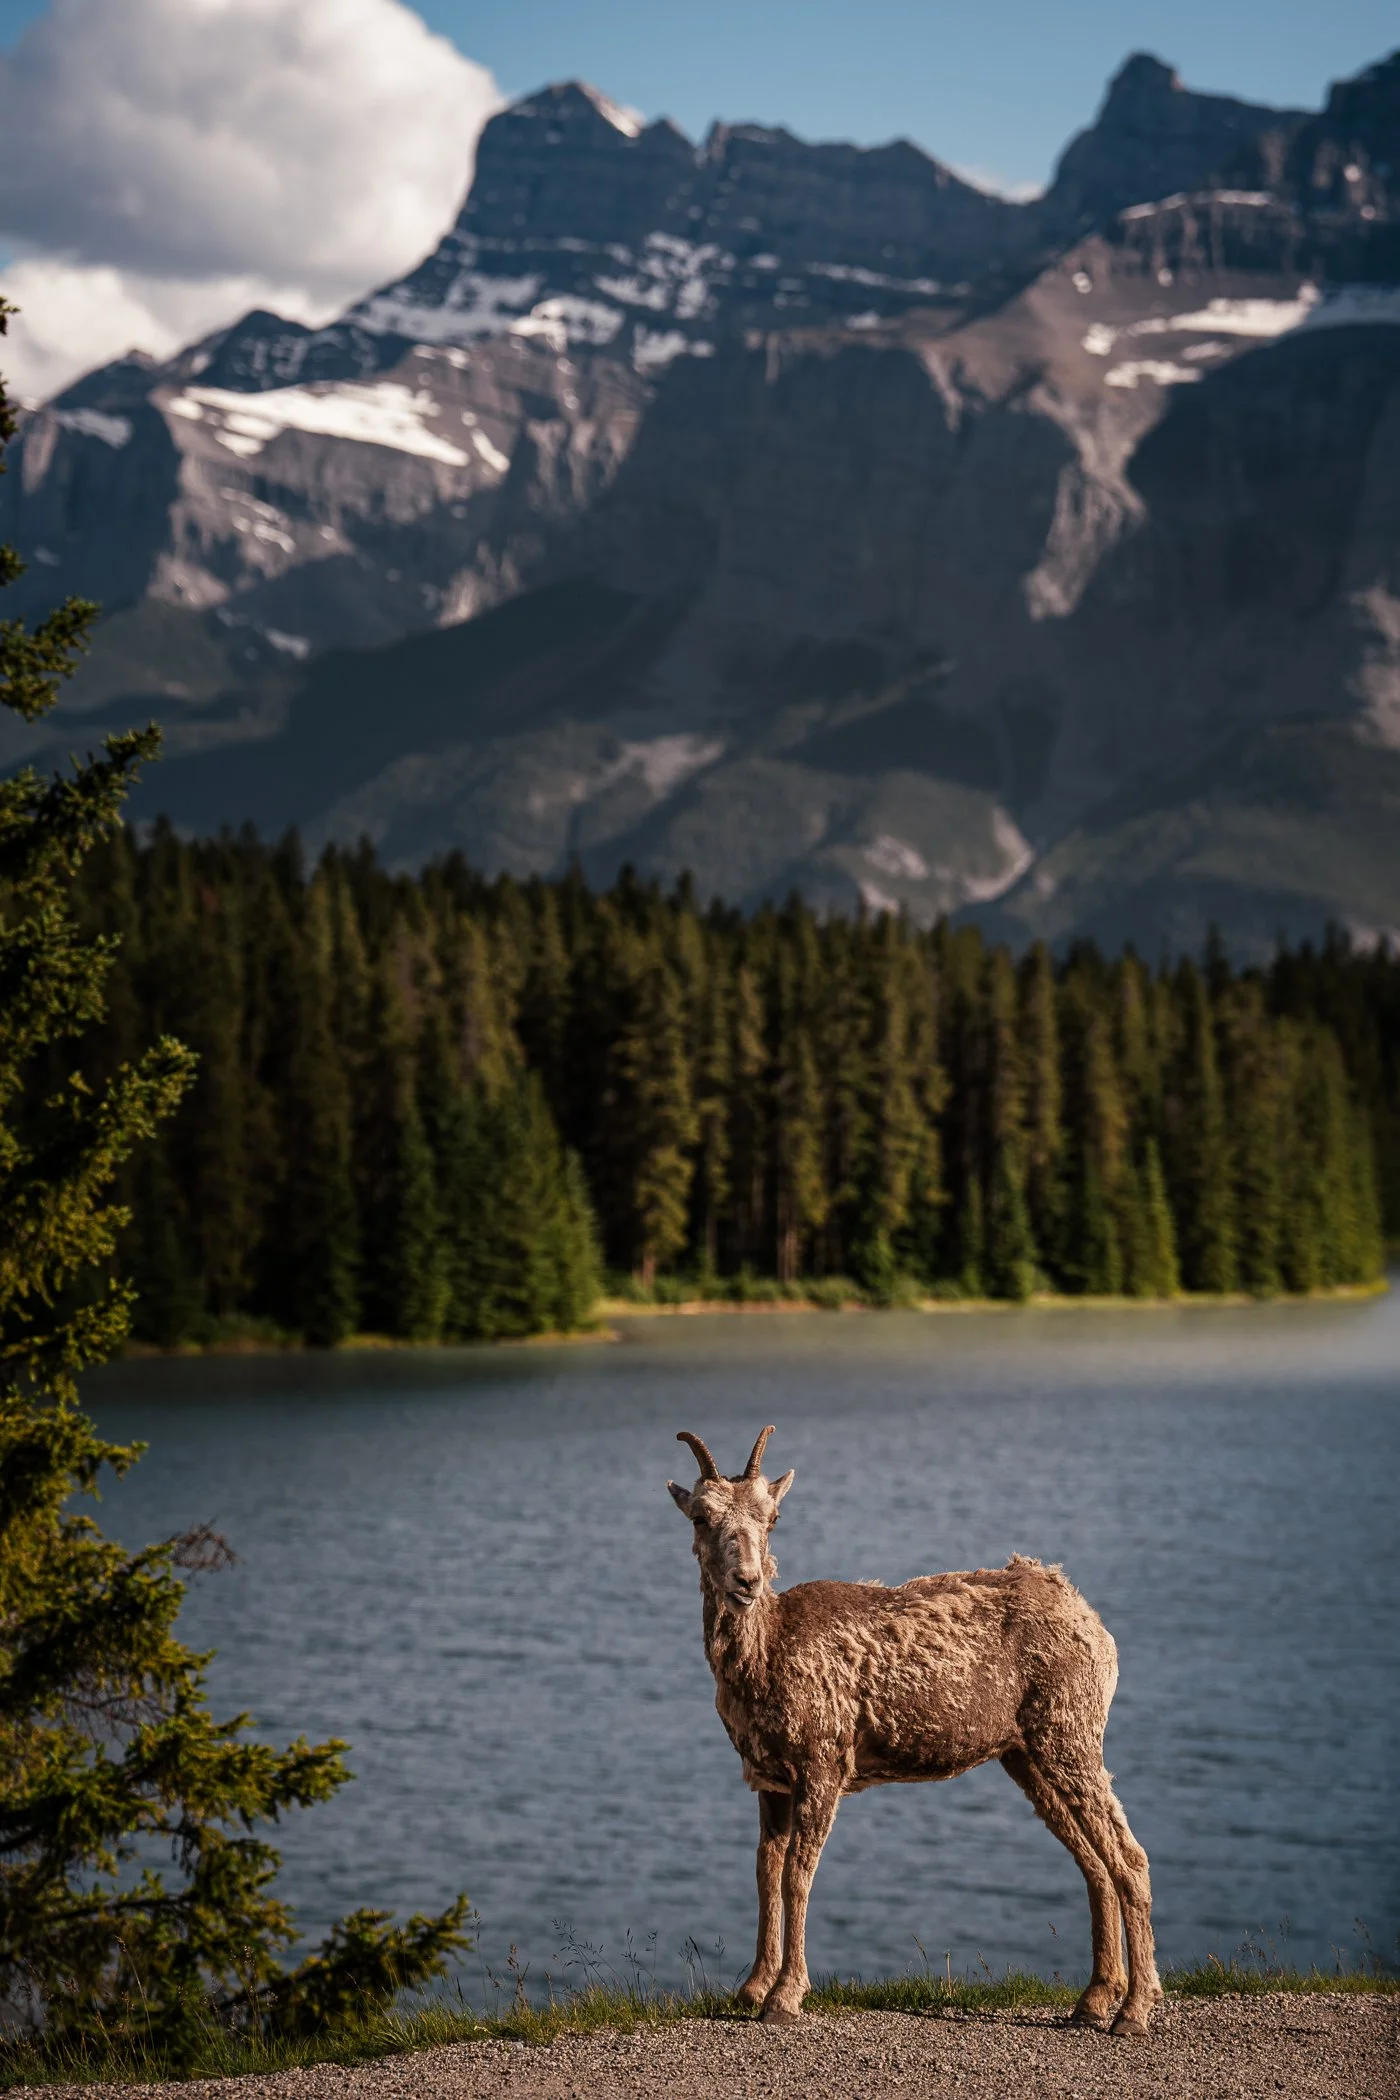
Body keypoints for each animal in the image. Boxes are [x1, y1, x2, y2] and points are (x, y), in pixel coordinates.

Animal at [668, 1424, 1160, 2034]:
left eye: (772, 1517)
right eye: (700, 1517)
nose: (746, 1582)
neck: (768, 1654)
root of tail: (1094, 1626)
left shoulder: (822, 1763)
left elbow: (796, 1876)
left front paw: (784, 1997)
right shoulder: (770, 1779)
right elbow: (764, 1873)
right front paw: (751, 1988)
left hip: (1070, 1734)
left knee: (1129, 1856)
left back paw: (1134, 2011)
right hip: (1026, 1755)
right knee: (1093, 1861)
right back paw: (1092, 2001)